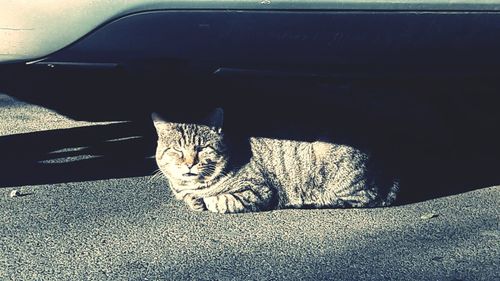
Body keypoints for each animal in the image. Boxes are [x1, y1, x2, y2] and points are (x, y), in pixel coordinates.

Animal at [151, 107, 398, 212]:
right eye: (177, 150)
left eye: (202, 149)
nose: (190, 163)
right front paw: (193, 200)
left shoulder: (258, 190)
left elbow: (222, 200)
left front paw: (204, 201)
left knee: (365, 199)